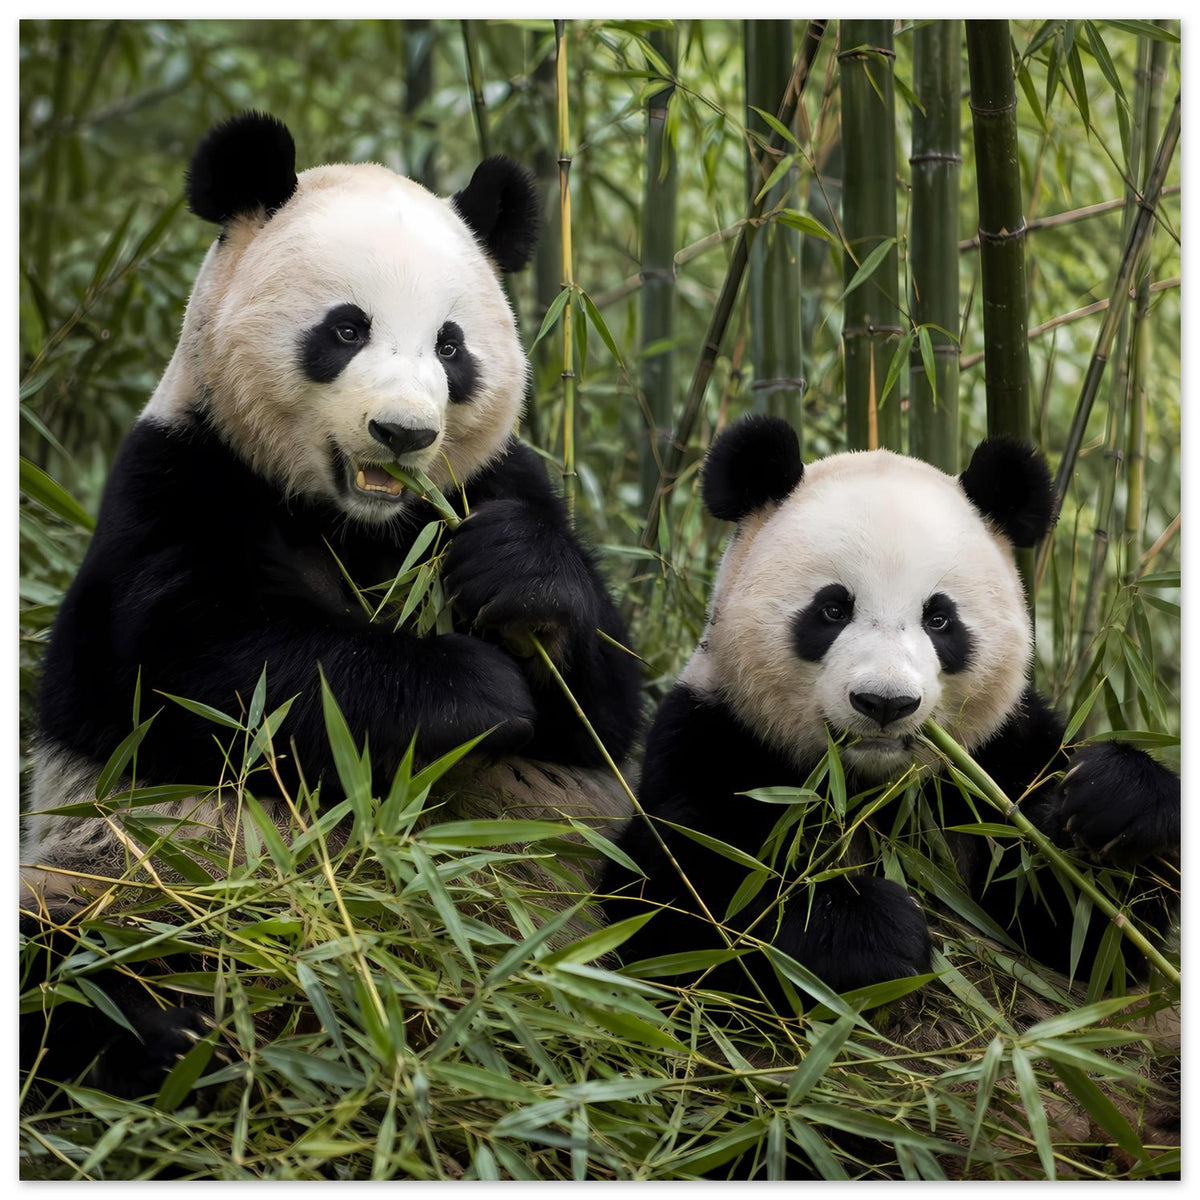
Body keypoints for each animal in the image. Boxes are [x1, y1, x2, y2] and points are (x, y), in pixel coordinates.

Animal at [20, 112, 641, 1097]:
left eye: (452, 346)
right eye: (346, 328)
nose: (403, 433)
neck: (358, 523)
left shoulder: (491, 484)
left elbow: (602, 713)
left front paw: (519, 584)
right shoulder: (175, 486)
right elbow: (214, 674)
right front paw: (472, 689)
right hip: (131, 877)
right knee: (71, 958)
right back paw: (178, 1034)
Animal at [601, 414, 1179, 1008]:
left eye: (940, 619)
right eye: (833, 609)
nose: (885, 702)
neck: (870, 789)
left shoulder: (997, 759)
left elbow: (1087, 931)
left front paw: (1114, 802)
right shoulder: (715, 735)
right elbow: (683, 898)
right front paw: (870, 931)